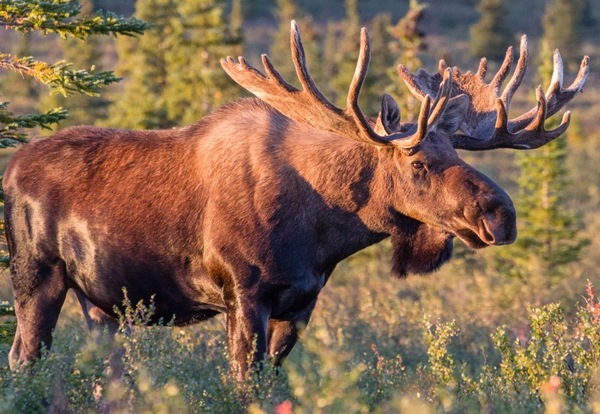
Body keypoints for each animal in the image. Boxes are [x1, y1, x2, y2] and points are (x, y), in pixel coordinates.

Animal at [3, 22, 584, 378]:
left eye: (457, 152)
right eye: (418, 163)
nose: (502, 215)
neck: (322, 231)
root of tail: (9, 168)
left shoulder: (301, 304)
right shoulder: (243, 293)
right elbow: (243, 382)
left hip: (99, 301)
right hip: (37, 276)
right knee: (24, 358)